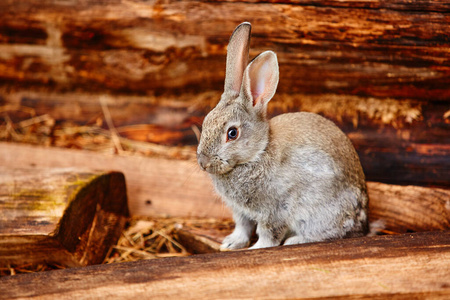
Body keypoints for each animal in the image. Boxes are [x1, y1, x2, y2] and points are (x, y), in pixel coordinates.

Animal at [197, 22, 370, 250]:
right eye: (205, 122)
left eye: (232, 134)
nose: (203, 162)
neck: (258, 153)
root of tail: (365, 222)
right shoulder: (242, 212)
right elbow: (243, 227)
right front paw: (230, 243)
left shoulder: (276, 209)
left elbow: (268, 235)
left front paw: (256, 248)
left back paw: (295, 241)